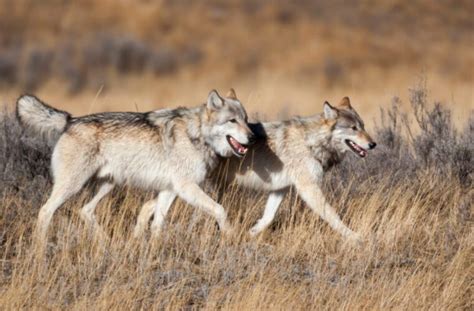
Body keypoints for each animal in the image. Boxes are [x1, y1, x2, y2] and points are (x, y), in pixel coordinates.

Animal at [16, 89, 256, 243]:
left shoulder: (169, 190)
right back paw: (40, 250)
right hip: (73, 186)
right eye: (232, 121)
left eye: (246, 119)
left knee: (85, 210)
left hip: (108, 185)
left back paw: (107, 245)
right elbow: (220, 209)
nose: (253, 137)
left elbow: (155, 221)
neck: (196, 133)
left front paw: (153, 248)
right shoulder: (185, 187)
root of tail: (70, 120)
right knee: (45, 211)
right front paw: (230, 235)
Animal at [135, 96, 376, 243]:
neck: (311, 142)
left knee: (148, 206)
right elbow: (333, 216)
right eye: (353, 128)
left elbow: (268, 217)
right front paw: (355, 237)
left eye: (363, 126)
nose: (373, 144)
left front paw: (251, 234)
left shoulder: (280, 189)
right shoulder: (308, 188)